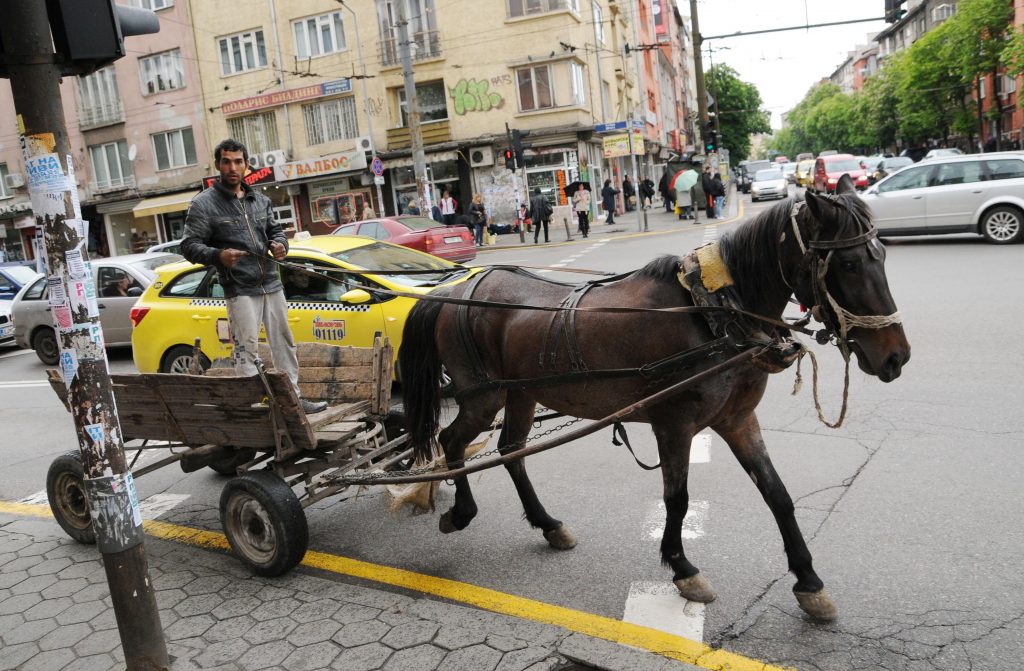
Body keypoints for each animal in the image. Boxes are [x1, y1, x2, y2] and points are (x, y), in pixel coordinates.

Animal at [395, 173, 909, 618]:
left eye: (881, 255)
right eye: (847, 264)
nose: (896, 357)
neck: (713, 312)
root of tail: (453, 289)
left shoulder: (738, 420)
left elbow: (778, 495)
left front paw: (808, 581)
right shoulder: (674, 425)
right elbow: (677, 498)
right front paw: (682, 568)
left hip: (520, 394)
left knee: (510, 451)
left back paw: (548, 524)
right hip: (482, 397)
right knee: (453, 442)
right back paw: (461, 512)